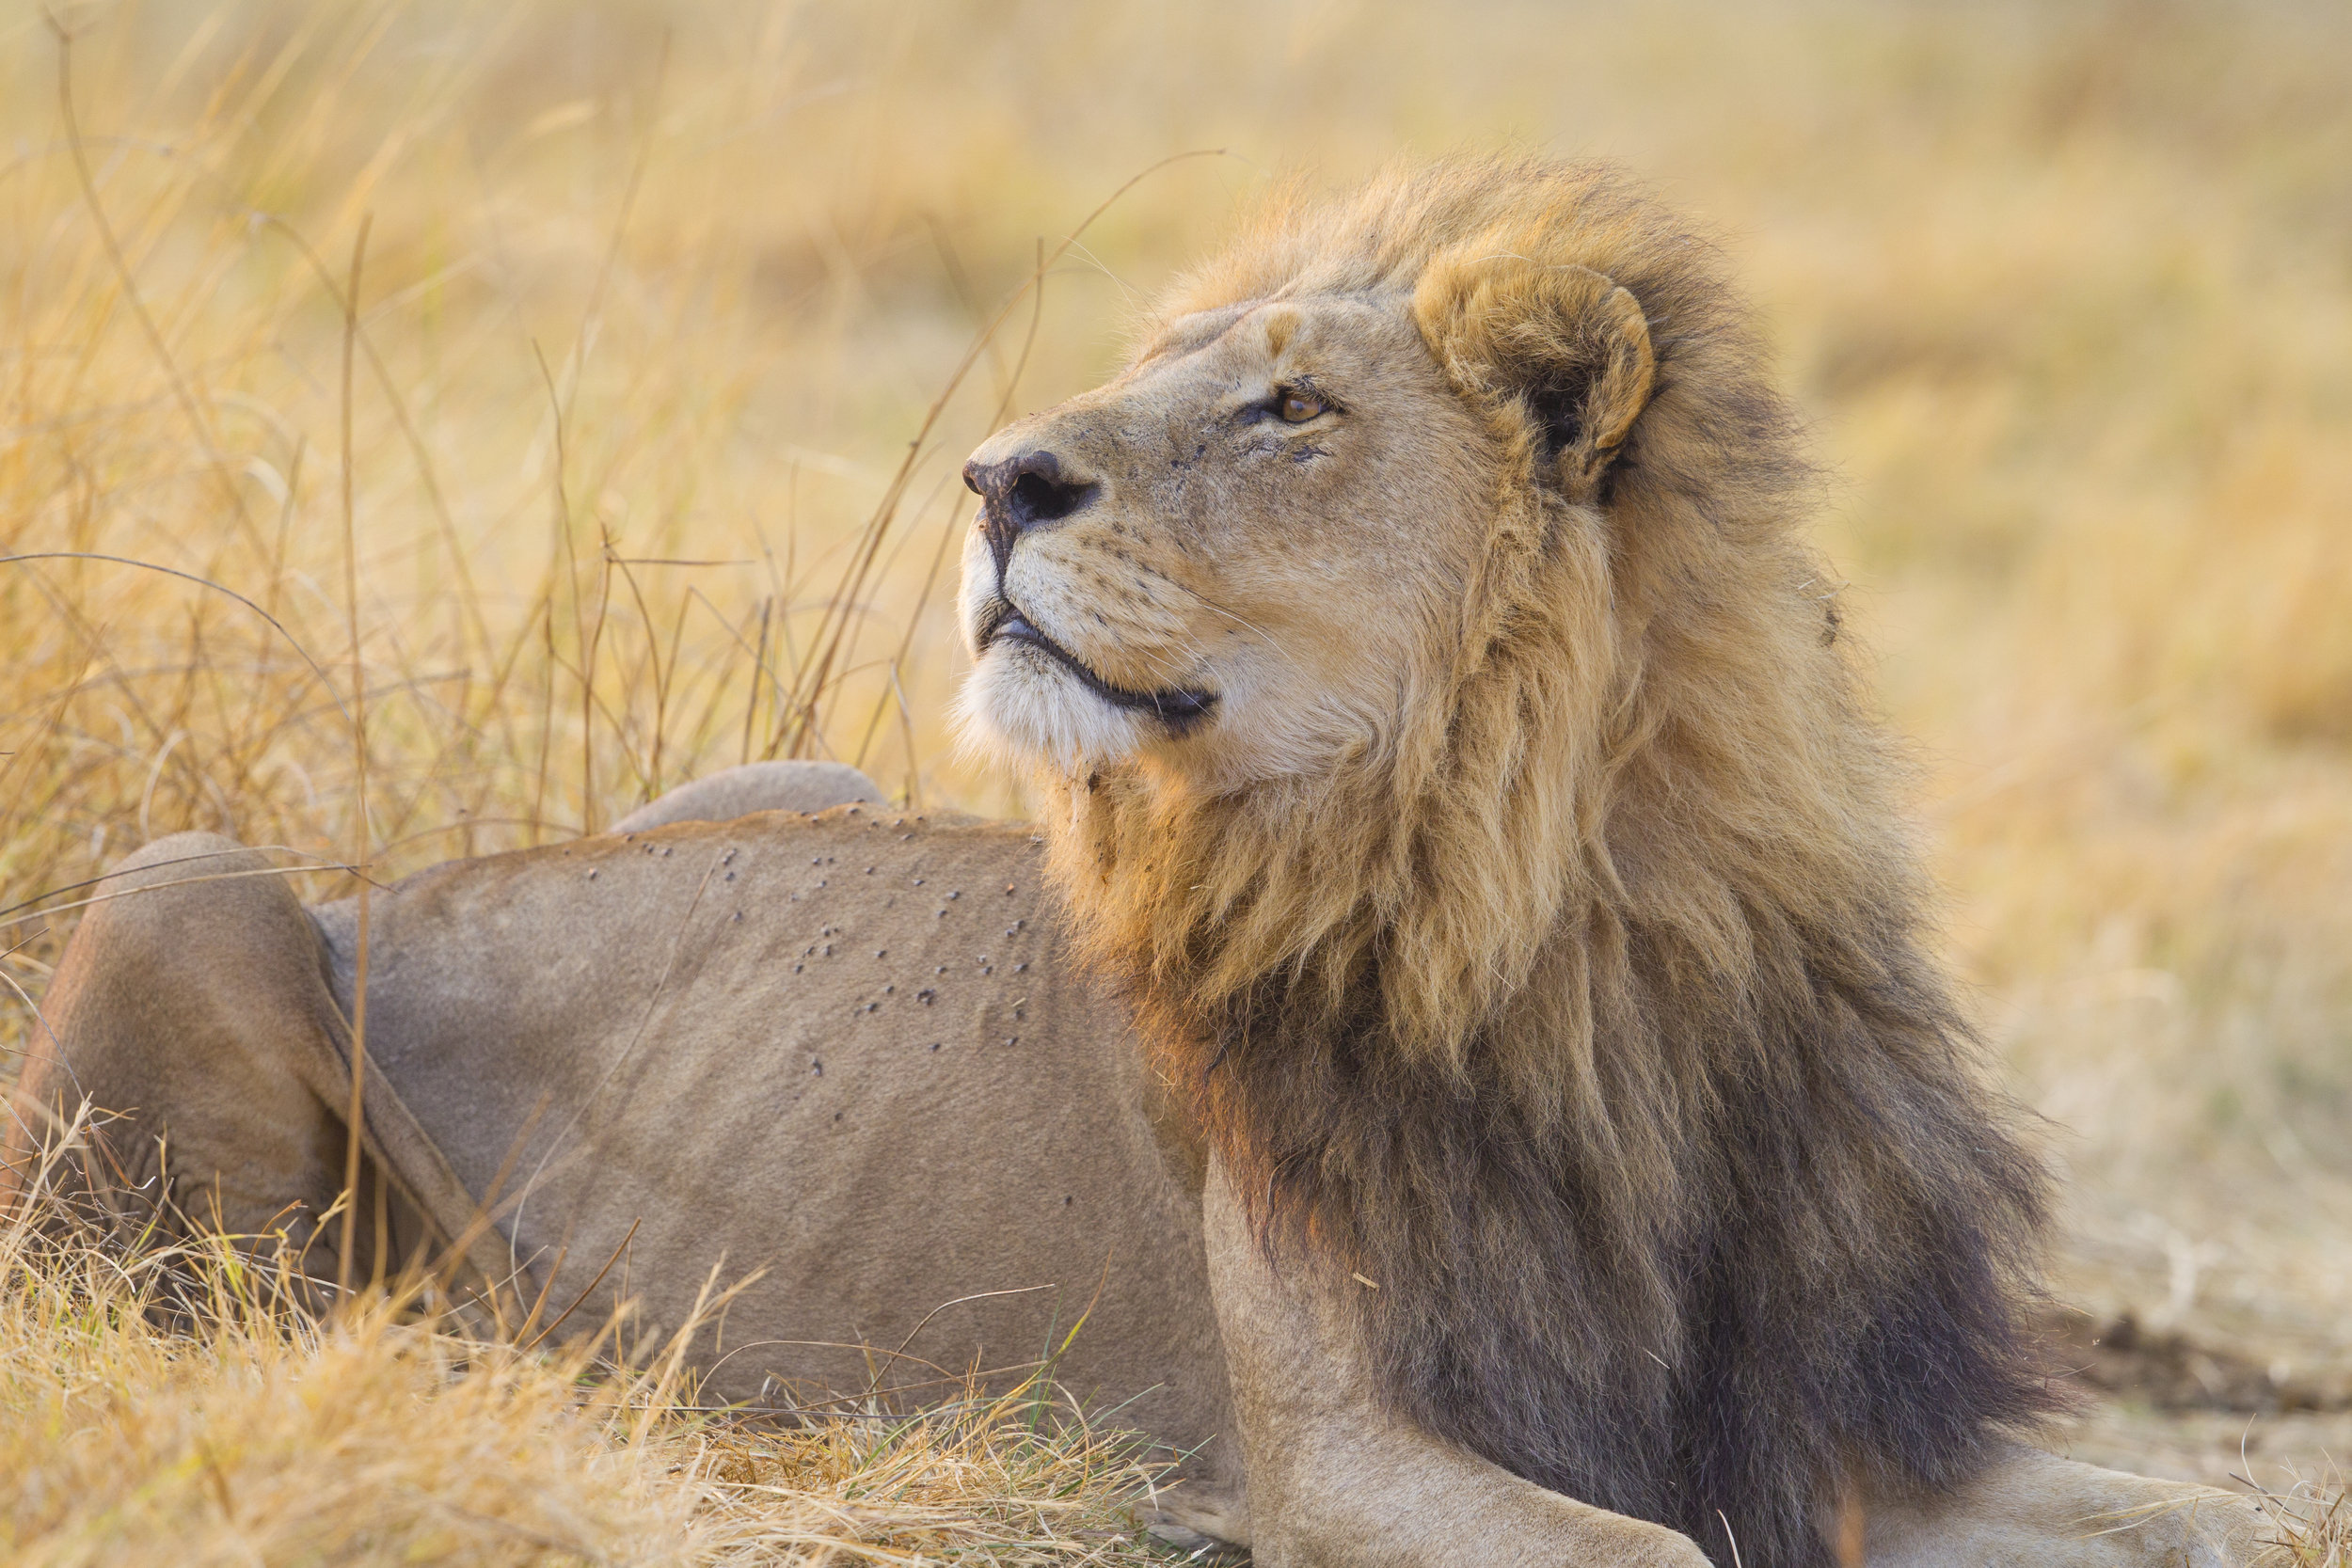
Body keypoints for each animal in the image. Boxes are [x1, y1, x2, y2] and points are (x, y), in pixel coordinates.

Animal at [4, 162, 2277, 1568]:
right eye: (1154, 379)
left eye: (1286, 405)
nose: (995, 475)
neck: (1571, 937)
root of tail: (400, 880)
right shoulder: (1332, 1451)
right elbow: (1643, 1546)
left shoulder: (1818, 1419)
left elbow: (2220, 1510)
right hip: (193, 888)